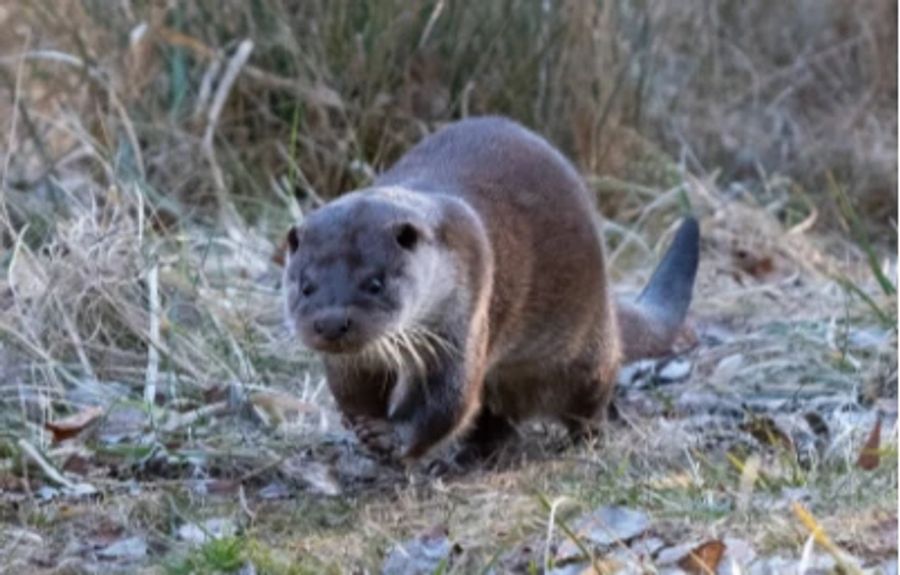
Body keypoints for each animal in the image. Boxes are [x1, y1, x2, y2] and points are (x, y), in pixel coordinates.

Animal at [284, 116, 700, 464]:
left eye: (374, 282)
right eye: (306, 286)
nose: (331, 322)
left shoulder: (465, 311)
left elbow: (448, 400)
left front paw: (395, 437)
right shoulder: (352, 364)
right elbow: (354, 393)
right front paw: (365, 428)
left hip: (588, 346)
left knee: (592, 391)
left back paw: (587, 437)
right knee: (493, 415)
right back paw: (477, 452)